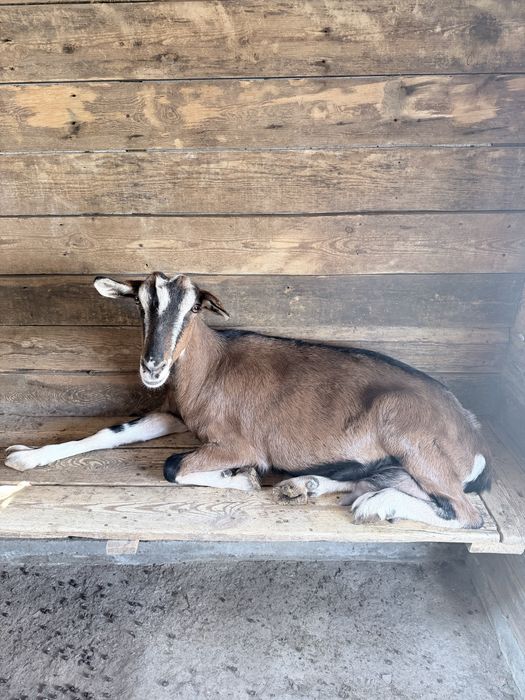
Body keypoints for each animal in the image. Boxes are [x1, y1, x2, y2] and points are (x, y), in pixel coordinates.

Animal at [5, 271, 491, 529]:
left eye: (194, 308)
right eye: (140, 304)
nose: (153, 367)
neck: (211, 367)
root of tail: (474, 438)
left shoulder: (237, 443)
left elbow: (174, 466)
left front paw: (244, 479)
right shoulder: (175, 414)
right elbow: (111, 431)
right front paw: (25, 456)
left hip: (411, 439)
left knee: (465, 514)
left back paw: (376, 506)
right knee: (381, 481)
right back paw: (306, 487)